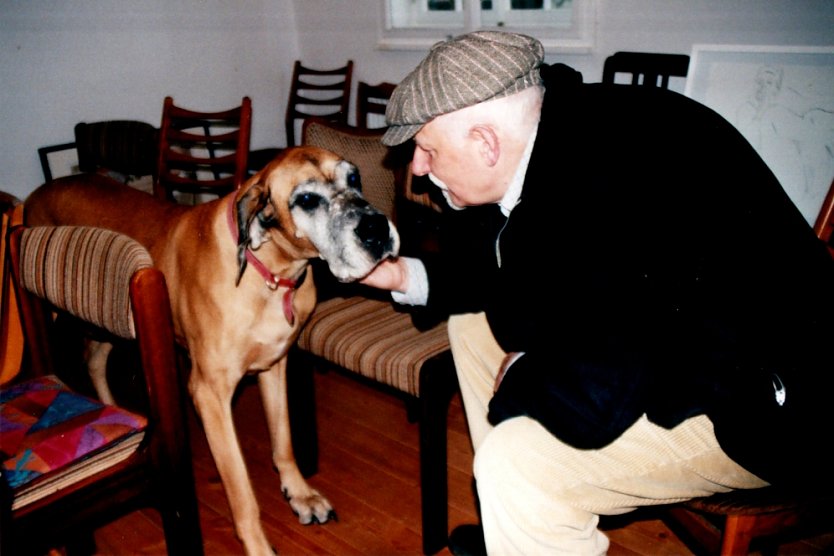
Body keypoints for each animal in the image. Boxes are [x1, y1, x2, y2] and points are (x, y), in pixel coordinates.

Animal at [24, 146, 402, 552]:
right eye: (305, 200)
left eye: (354, 178)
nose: (377, 230)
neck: (269, 270)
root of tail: (35, 195)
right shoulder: (210, 394)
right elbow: (241, 490)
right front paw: (257, 546)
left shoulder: (274, 366)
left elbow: (283, 440)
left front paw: (300, 494)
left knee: (94, 359)